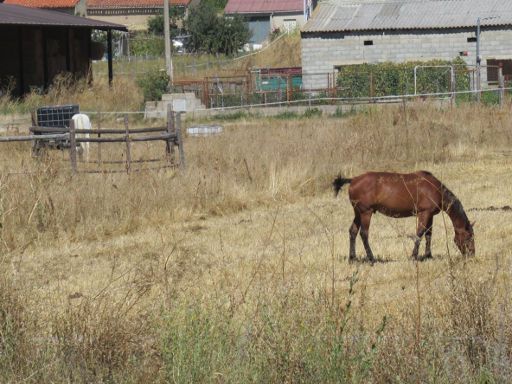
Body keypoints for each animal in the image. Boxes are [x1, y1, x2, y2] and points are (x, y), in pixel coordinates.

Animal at [334, 172, 474, 264]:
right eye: (469, 237)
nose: (472, 255)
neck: (435, 189)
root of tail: (353, 180)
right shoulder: (424, 213)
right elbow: (420, 233)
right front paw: (414, 256)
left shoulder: (430, 215)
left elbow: (429, 234)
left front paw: (428, 255)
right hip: (365, 213)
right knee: (364, 234)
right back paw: (371, 258)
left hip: (358, 212)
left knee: (353, 231)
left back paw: (352, 258)